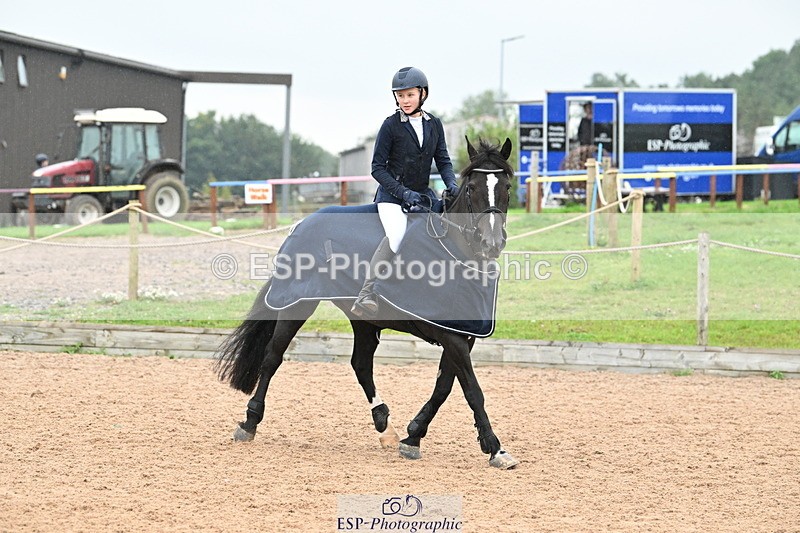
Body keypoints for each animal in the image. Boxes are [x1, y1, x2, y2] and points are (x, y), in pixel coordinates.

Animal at [214, 138, 519, 469]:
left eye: (507, 187)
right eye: (472, 187)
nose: (492, 243)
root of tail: (302, 222)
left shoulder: (463, 334)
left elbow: (444, 387)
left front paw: (413, 436)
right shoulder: (451, 337)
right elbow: (472, 390)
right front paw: (496, 448)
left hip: (361, 318)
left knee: (360, 364)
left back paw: (385, 425)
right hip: (298, 303)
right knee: (272, 357)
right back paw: (249, 422)